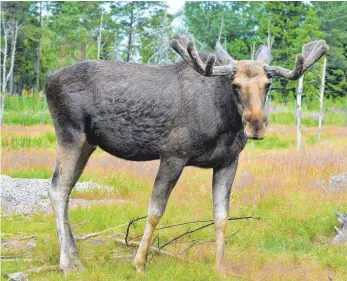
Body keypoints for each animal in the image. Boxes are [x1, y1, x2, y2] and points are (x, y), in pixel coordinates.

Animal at [45, 35, 328, 274]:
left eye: (267, 84)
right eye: (235, 85)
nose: (256, 125)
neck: (225, 123)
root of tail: (48, 80)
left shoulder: (228, 161)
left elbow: (221, 216)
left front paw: (220, 266)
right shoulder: (173, 154)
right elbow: (155, 211)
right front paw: (139, 263)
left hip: (88, 143)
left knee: (67, 189)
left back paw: (77, 260)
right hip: (70, 133)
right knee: (57, 188)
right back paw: (66, 264)